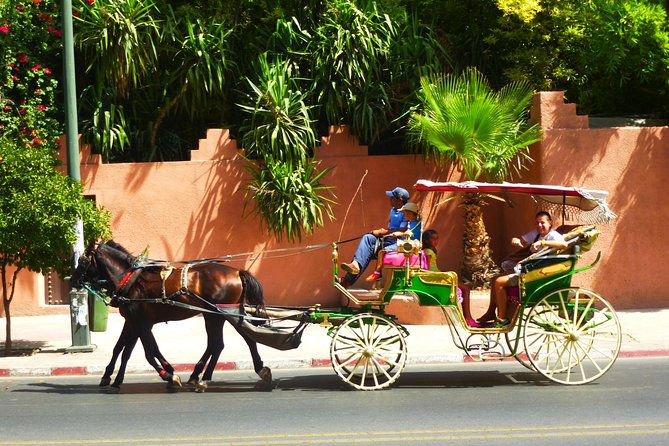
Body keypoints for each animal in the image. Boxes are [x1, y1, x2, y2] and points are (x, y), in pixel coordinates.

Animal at [71, 239, 272, 392]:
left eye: (82, 261)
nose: (72, 281)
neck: (131, 281)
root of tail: (237, 272)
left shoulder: (142, 323)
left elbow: (149, 351)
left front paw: (169, 375)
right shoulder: (132, 322)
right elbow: (122, 349)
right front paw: (111, 378)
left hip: (215, 316)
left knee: (217, 345)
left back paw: (204, 379)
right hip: (225, 314)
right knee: (245, 339)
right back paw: (256, 369)